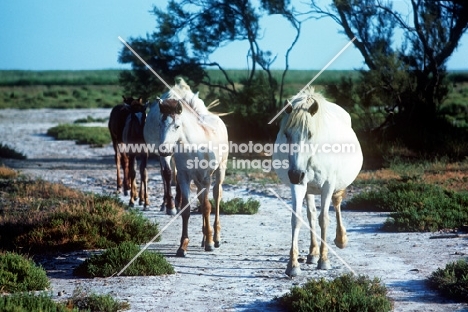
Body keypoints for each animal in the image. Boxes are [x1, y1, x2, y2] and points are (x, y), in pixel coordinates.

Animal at [157, 80, 229, 256]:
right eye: (160, 124)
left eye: (177, 126)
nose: (164, 150)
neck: (193, 147)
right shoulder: (184, 177)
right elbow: (186, 209)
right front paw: (183, 246)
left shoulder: (206, 178)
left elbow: (207, 207)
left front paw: (210, 243)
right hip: (196, 181)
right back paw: (203, 238)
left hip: (220, 171)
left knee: (216, 197)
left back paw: (215, 238)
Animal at [272, 86, 364, 276]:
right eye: (286, 134)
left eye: (310, 134)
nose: (296, 174)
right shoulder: (298, 185)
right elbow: (298, 219)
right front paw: (293, 265)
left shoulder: (327, 186)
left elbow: (324, 219)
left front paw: (324, 260)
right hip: (308, 188)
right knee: (311, 215)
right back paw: (312, 253)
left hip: (334, 186)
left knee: (336, 205)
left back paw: (340, 240)